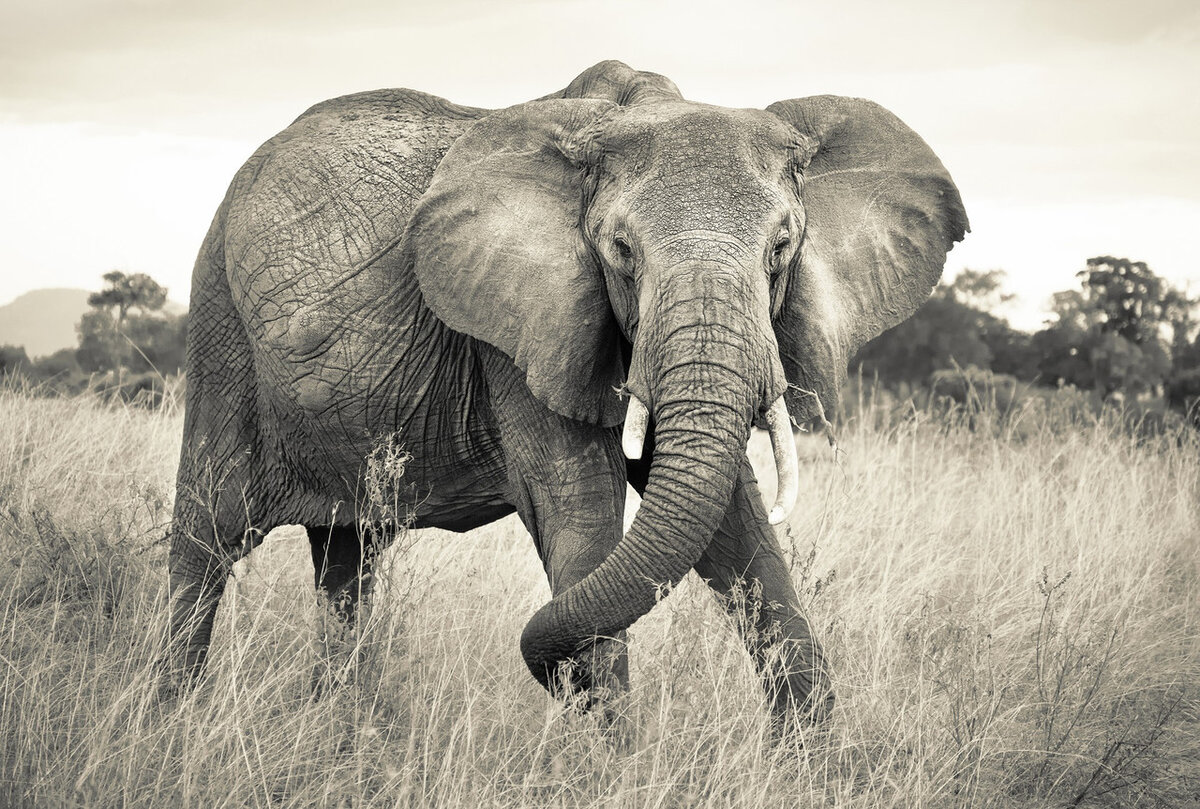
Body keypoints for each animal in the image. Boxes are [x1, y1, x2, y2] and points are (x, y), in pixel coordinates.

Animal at [166, 60, 967, 723]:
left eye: (781, 248)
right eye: (619, 251)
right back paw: (170, 720)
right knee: (206, 540)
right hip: (219, 324)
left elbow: (736, 526)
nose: (553, 680)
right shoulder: (520, 337)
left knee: (346, 560)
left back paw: (337, 731)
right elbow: (578, 513)